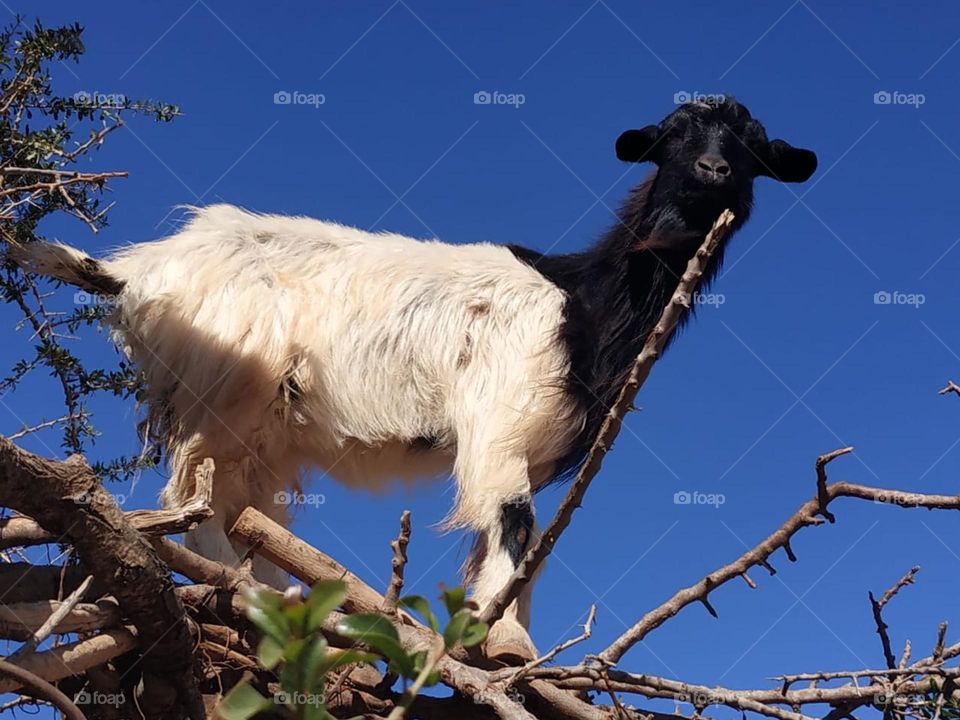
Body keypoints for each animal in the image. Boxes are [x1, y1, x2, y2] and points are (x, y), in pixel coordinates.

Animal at [9, 97, 816, 664]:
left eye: (749, 146)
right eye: (673, 136)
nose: (712, 174)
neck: (580, 301)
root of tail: (140, 270)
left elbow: (519, 549)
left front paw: (499, 640)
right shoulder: (499, 423)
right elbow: (514, 527)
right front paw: (508, 645)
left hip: (261, 429)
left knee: (237, 505)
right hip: (221, 391)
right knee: (192, 498)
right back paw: (246, 588)